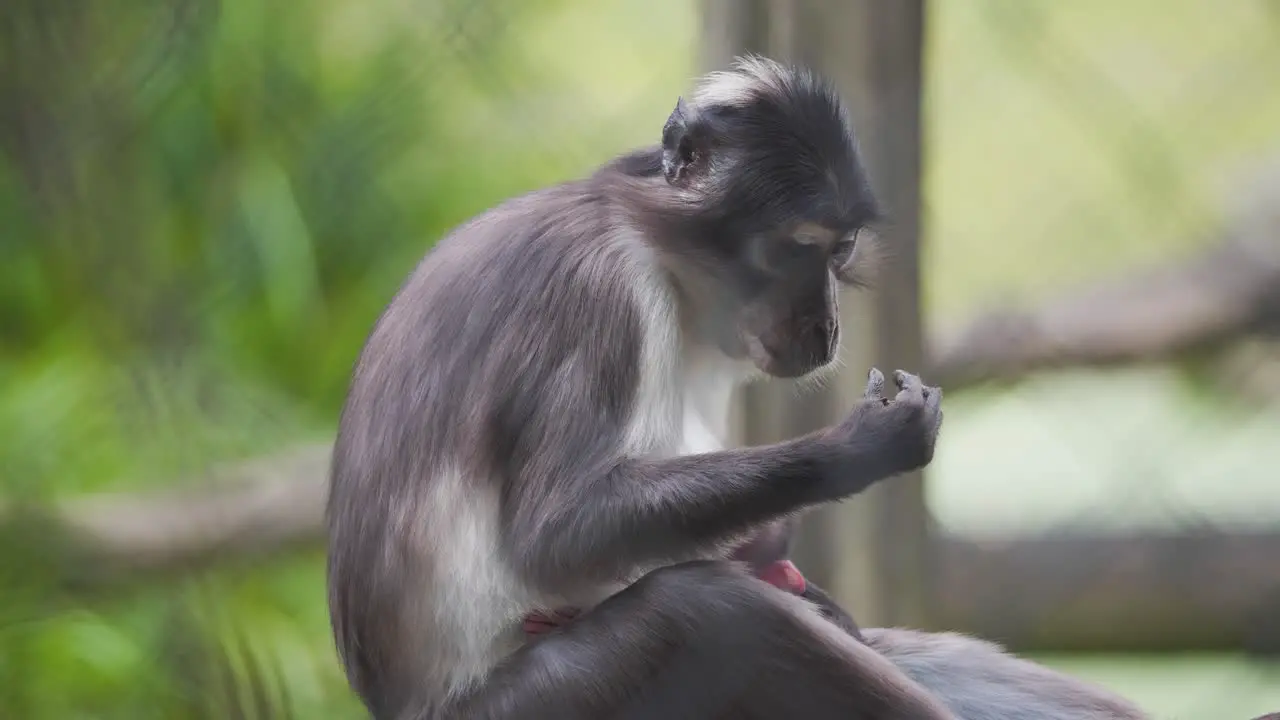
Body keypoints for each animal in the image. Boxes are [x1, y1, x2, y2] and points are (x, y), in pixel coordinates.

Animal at [327, 53, 1152, 712]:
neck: (650, 246)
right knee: (716, 614)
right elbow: (558, 531)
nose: (827, 326)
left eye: (840, 250)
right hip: (545, 702)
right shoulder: (596, 291)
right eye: (792, 250)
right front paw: (858, 448)